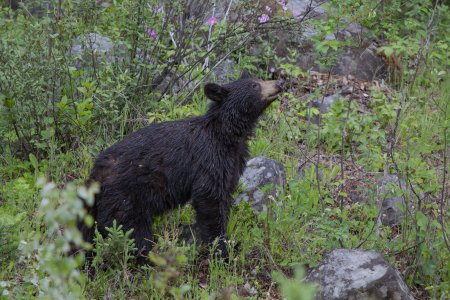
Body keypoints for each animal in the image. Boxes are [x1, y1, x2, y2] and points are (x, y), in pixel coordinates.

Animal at [80, 71, 284, 262]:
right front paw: (221, 249)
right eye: (254, 85)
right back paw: (150, 255)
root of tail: (95, 174)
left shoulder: (231, 164)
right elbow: (210, 198)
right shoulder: (209, 159)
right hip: (126, 196)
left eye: (259, 80)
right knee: (131, 229)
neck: (227, 135)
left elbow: (225, 196)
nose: (280, 83)